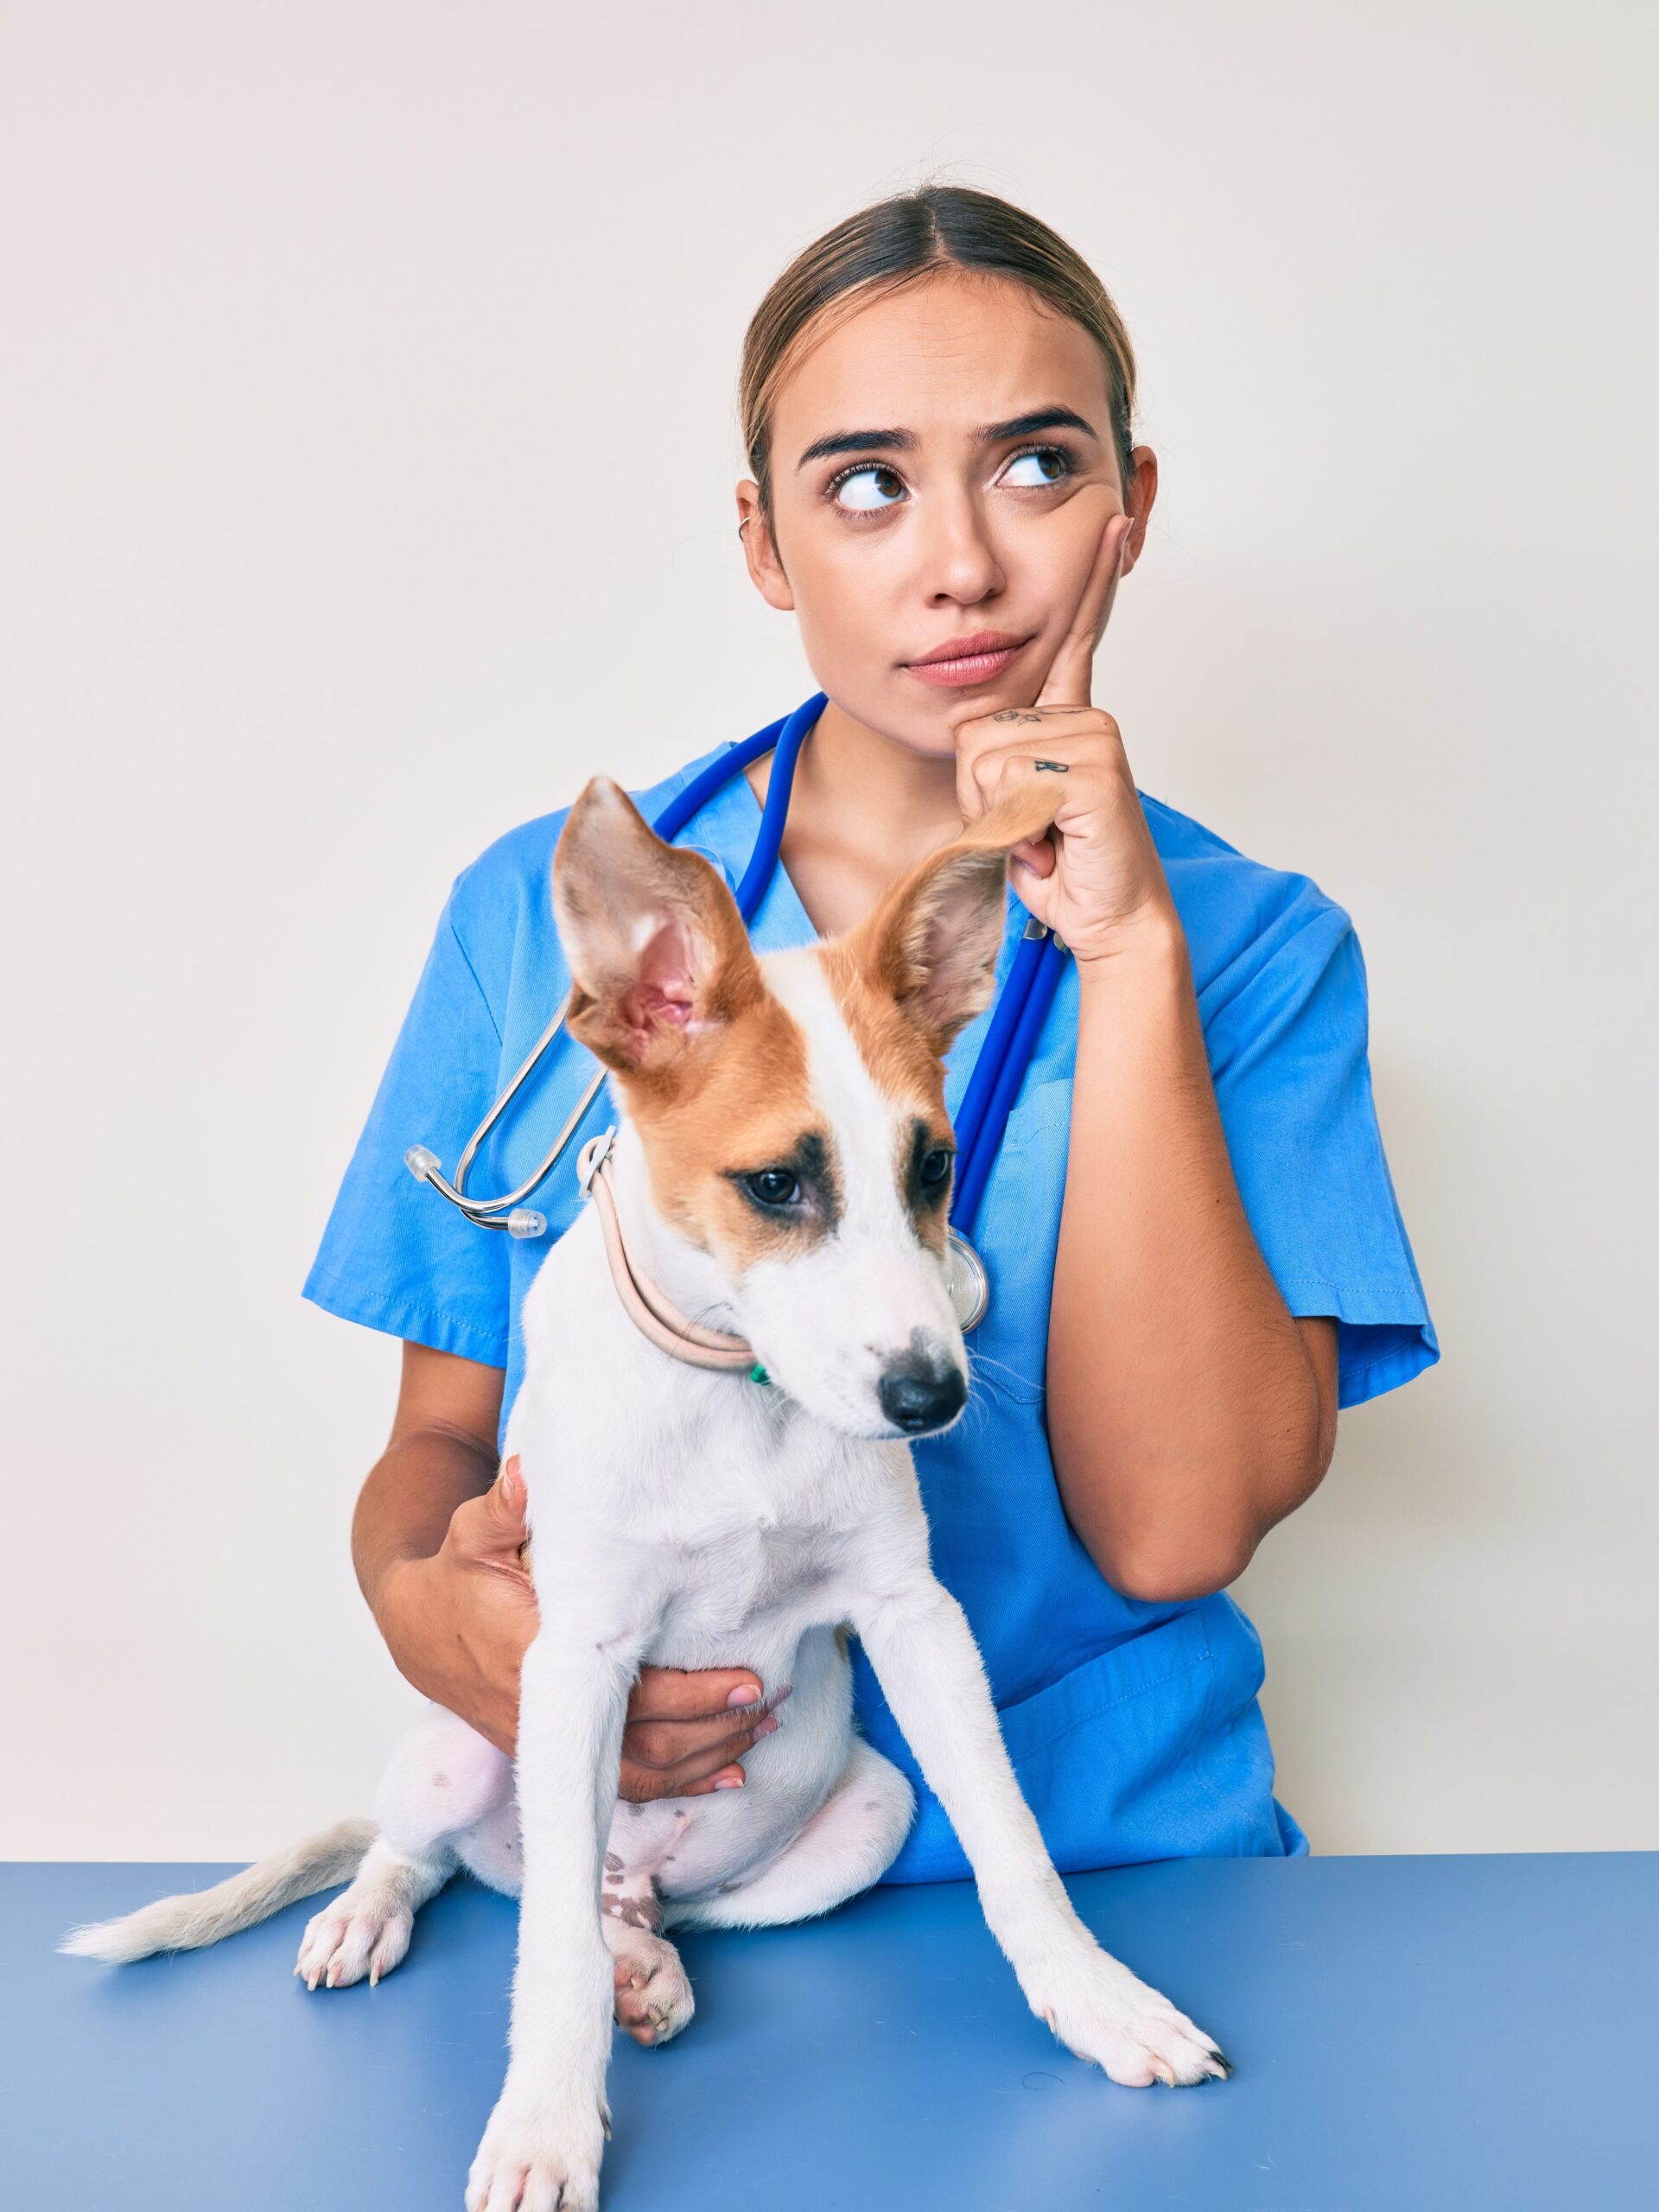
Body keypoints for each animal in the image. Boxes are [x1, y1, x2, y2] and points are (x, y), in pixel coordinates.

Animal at [65, 769, 1230, 2202]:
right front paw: (545, 2129)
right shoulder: (575, 1661)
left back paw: (649, 1966)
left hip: (867, 1811)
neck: (739, 1393)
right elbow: (546, 1964)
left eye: (933, 1169)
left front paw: (1102, 2005)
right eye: (775, 1184)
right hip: (461, 1741)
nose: (932, 1401)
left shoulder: (915, 1619)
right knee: (450, 1866)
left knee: (629, 1906)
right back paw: (366, 1918)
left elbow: (1014, 1845)